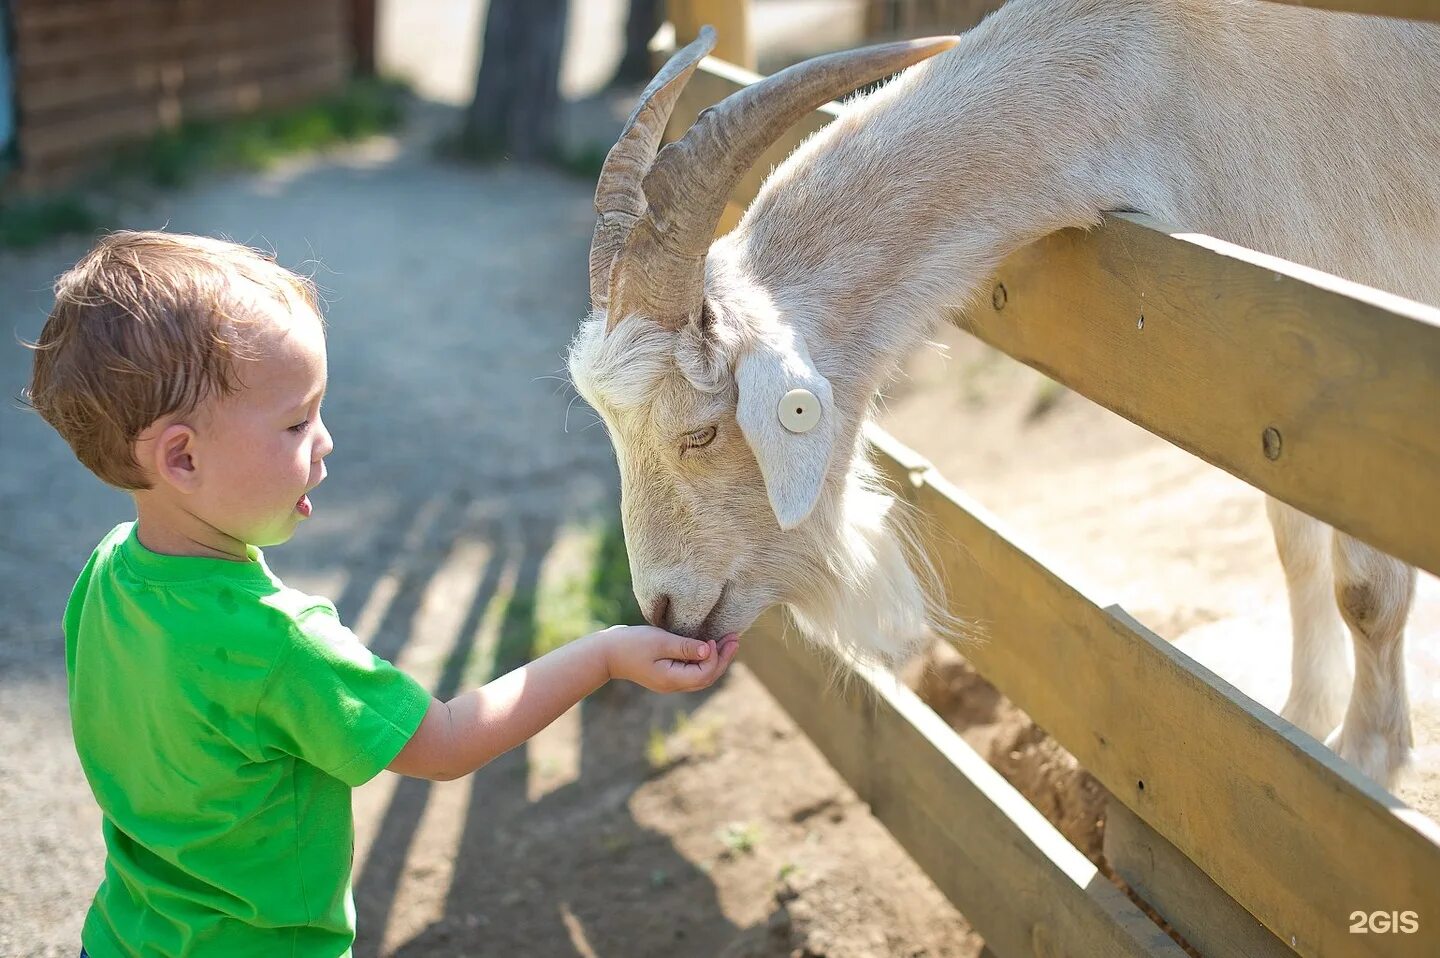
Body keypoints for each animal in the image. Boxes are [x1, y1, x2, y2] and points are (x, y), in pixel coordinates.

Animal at [567, 0, 1440, 789]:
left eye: (700, 433)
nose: (664, 611)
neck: (1163, 70)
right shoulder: (1271, 395)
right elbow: (1294, 540)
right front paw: (1304, 720)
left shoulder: (1353, 334)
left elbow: (1365, 587)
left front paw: (1365, 765)